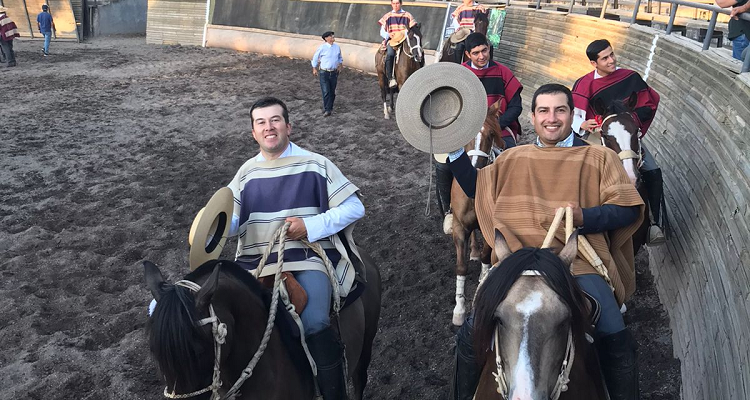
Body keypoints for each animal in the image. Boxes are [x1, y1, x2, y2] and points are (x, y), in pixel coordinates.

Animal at [450, 99, 508, 324]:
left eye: (491, 134)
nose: (474, 169)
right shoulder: (459, 227)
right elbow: (461, 267)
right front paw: (459, 309)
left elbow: (486, 257)